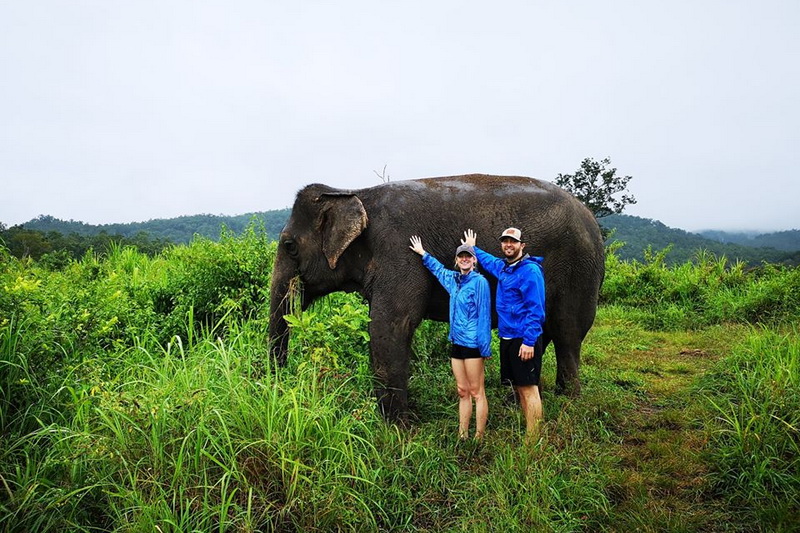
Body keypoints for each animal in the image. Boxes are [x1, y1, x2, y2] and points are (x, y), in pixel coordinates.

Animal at [270, 174, 608, 420]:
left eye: (289, 245)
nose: (278, 384)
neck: (352, 192)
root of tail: (592, 219)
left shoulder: (398, 254)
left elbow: (389, 328)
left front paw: (397, 429)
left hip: (579, 272)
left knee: (567, 334)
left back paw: (567, 404)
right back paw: (517, 402)